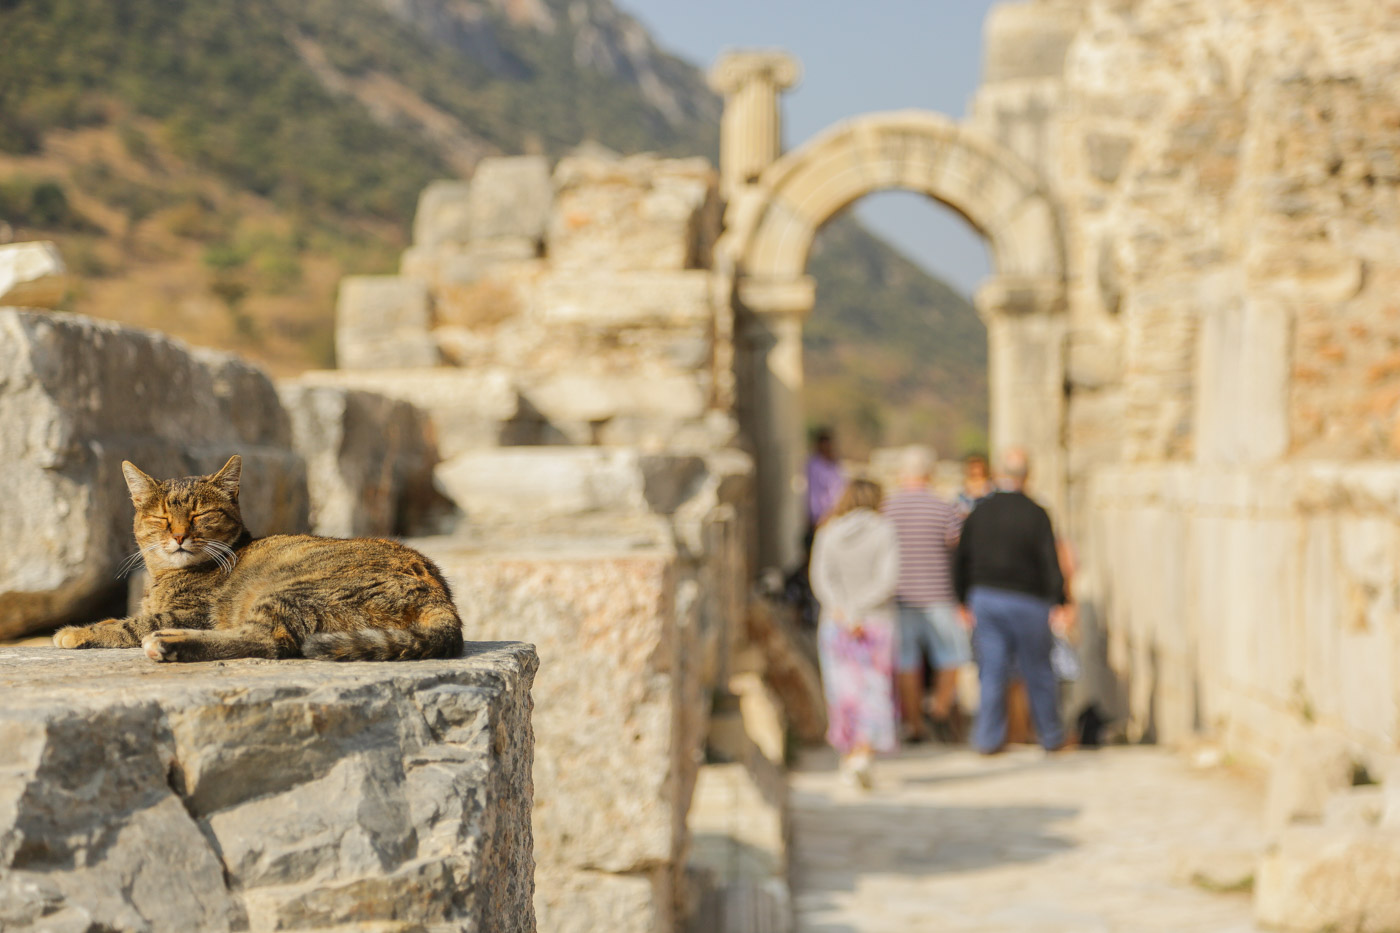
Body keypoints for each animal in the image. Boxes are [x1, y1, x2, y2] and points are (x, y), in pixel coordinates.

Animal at [51, 451, 464, 661]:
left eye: (200, 515)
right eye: (162, 518)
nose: (180, 536)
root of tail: (441, 596)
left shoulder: (192, 611)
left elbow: (125, 624)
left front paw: (75, 632)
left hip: (291, 592)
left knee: (271, 640)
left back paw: (170, 642)